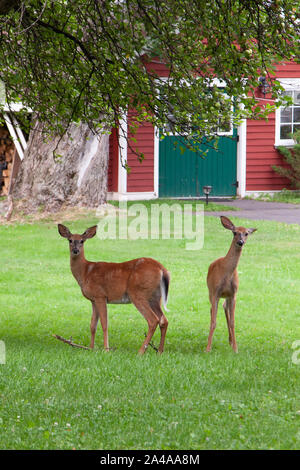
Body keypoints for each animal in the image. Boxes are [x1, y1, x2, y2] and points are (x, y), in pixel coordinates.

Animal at [57, 223, 170, 352]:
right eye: (70, 240)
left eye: (82, 241)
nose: (76, 250)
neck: (86, 272)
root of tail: (162, 269)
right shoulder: (93, 300)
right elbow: (92, 325)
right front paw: (90, 348)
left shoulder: (100, 295)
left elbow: (104, 324)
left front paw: (106, 349)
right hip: (155, 297)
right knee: (164, 320)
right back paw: (159, 351)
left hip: (138, 293)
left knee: (153, 320)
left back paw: (141, 351)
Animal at [206, 217, 258, 352]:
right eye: (234, 232)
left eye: (246, 233)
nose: (240, 242)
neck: (227, 272)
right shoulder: (216, 292)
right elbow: (213, 321)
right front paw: (208, 348)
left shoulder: (234, 293)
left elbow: (233, 322)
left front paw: (235, 348)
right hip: (210, 292)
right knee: (212, 310)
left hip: (227, 296)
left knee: (225, 307)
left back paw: (230, 340)